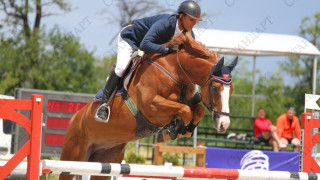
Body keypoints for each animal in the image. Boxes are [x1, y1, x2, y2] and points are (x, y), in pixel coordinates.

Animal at [58, 32, 236, 180]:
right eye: (215, 88)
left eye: (232, 90)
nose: (224, 124)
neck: (174, 71)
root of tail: (74, 118)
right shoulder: (152, 107)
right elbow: (185, 111)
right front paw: (173, 131)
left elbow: (196, 110)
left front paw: (183, 129)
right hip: (72, 157)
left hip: (105, 162)